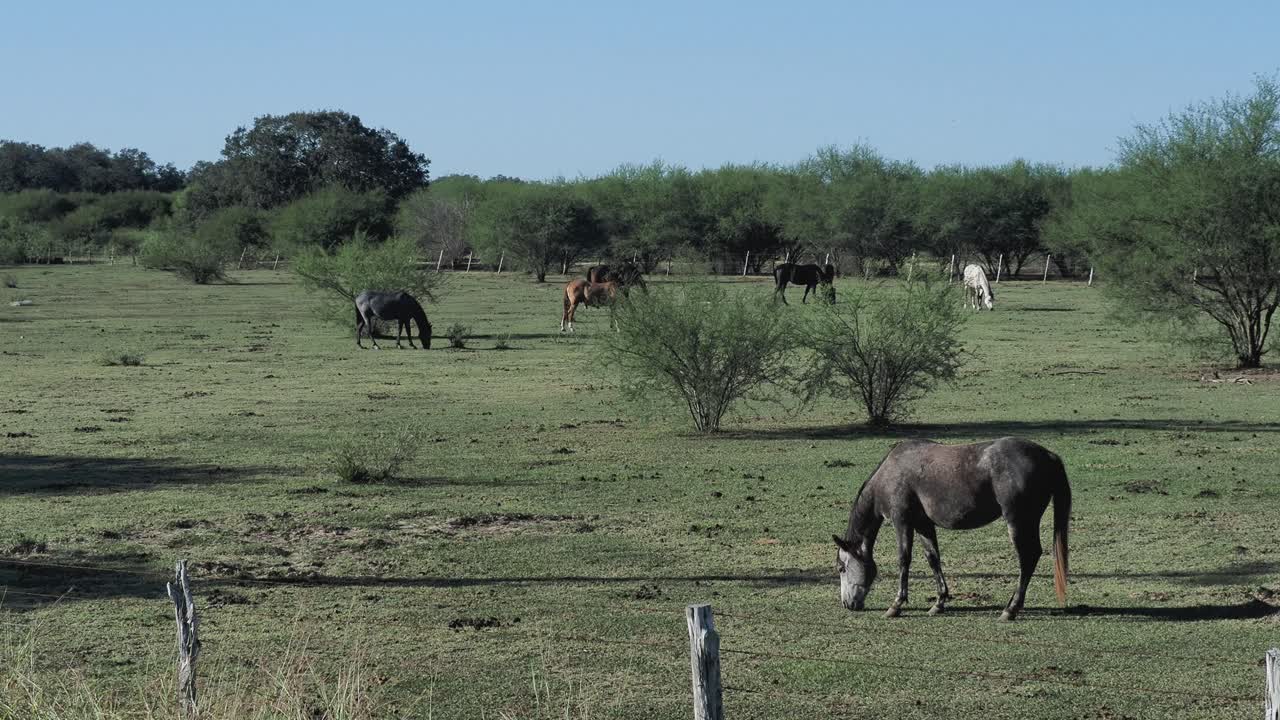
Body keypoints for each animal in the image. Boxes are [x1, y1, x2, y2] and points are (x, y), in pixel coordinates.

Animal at [832, 437, 1070, 621]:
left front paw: (896, 605)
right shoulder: (923, 525)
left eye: (841, 568)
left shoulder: (902, 522)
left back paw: (1010, 609)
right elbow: (933, 559)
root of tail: (1048, 455)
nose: (847, 604)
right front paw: (939, 603)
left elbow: (904, 560)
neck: (890, 473)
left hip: (1018, 522)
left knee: (1027, 557)